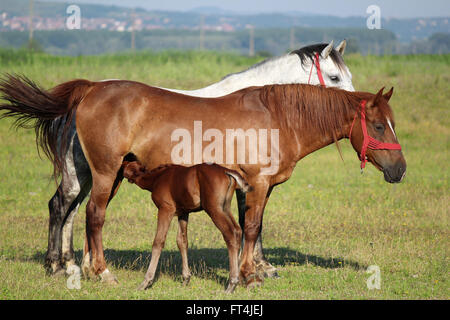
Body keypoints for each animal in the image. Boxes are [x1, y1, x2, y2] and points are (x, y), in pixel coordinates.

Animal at [121, 161, 253, 294]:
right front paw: (186, 278)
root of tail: (227, 171)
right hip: (225, 208)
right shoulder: (183, 213)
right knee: (237, 231)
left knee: (230, 234)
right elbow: (182, 241)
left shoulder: (165, 209)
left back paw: (232, 283)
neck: (157, 178)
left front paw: (146, 282)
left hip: (214, 209)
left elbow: (158, 242)